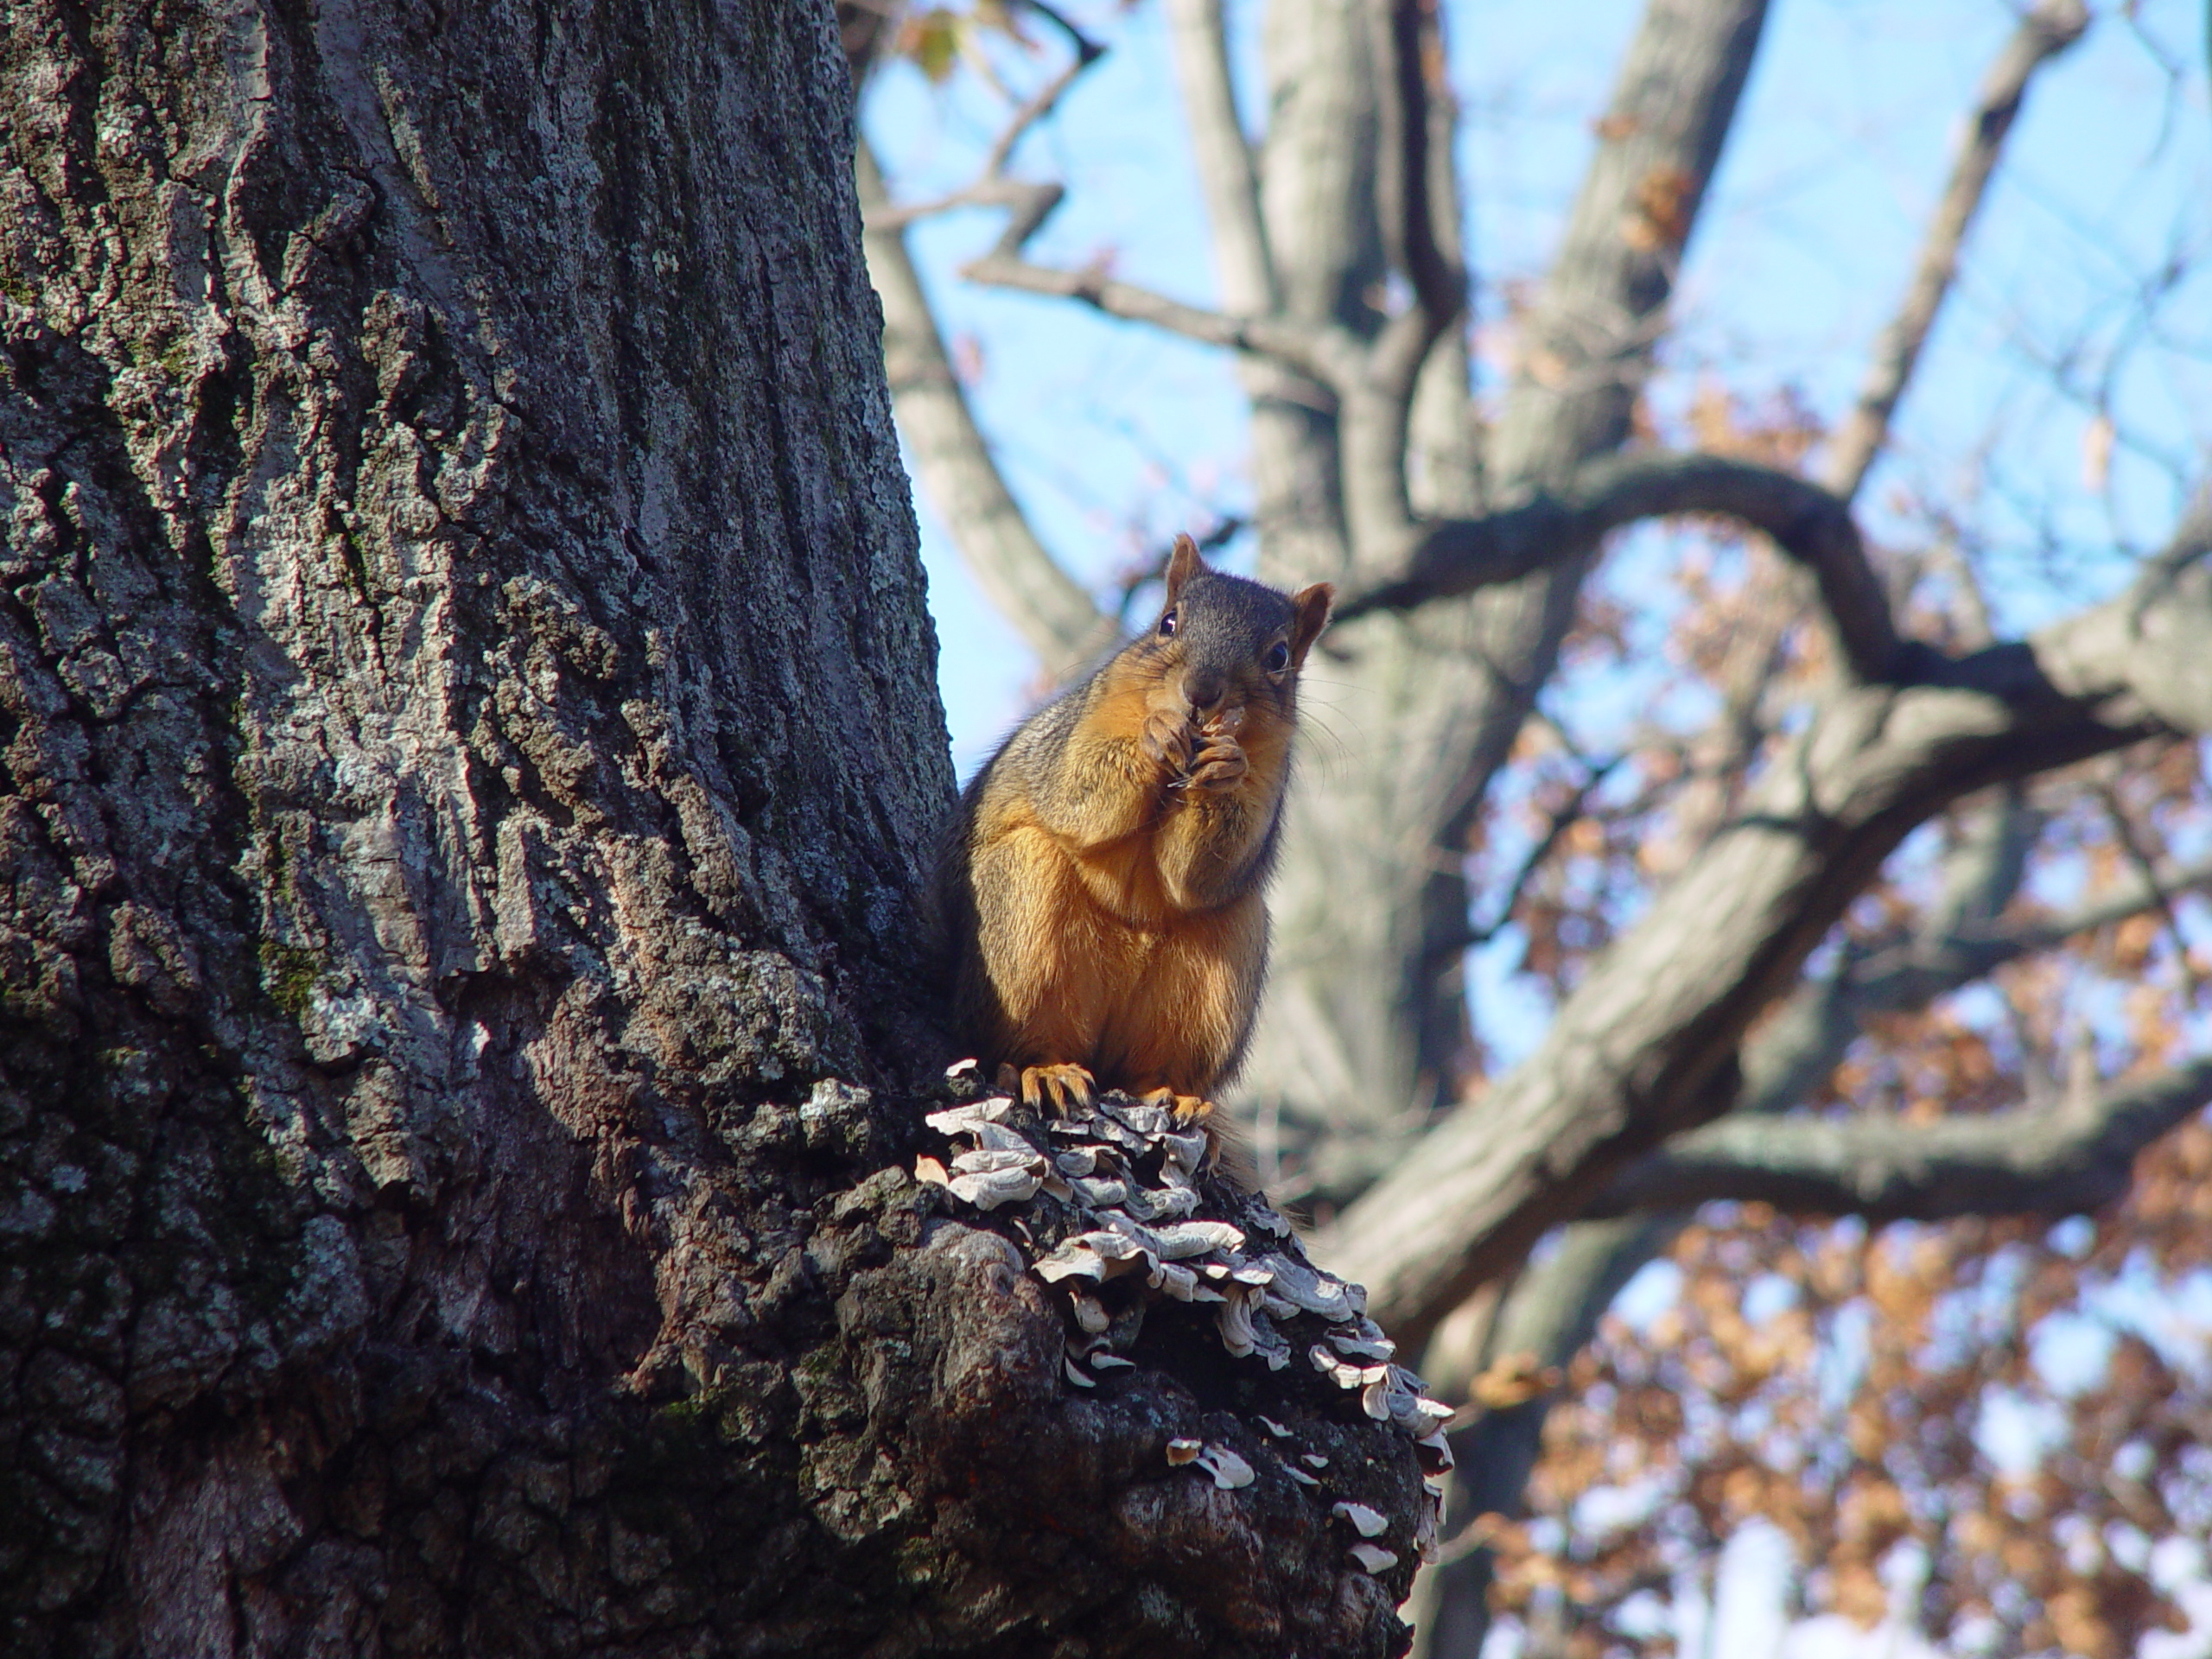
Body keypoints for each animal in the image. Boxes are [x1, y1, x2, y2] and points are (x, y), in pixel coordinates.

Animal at [933, 532, 1327, 1132]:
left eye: (1279, 657)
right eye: (1168, 623)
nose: (1201, 692)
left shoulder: (1270, 776)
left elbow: (1202, 873)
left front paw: (1225, 767)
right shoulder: (1078, 733)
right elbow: (1076, 792)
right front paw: (1155, 733)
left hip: (1220, 964)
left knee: (1154, 1064)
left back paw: (1172, 1094)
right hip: (1020, 914)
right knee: (1025, 1036)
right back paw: (1047, 1070)